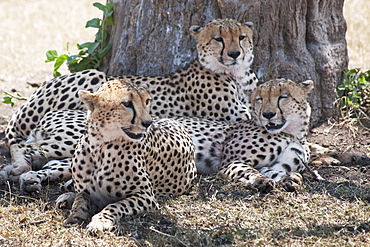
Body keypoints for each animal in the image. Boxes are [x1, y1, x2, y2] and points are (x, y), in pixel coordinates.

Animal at [62, 79, 197, 233]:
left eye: (147, 101)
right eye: (127, 104)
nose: (148, 123)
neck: (100, 146)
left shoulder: (146, 196)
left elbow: (115, 205)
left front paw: (99, 221)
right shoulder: (87, 193)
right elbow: (79, 200)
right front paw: (74, 215)